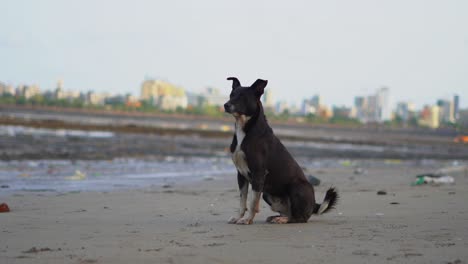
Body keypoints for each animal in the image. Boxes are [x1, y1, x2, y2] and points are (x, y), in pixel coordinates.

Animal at [223, 77, 336, 224]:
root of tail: (313, 204)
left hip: (297, 187)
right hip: (267, 194)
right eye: (232, 95)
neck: (245, 129)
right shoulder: (241, 175)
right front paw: (239, 217)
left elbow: (253, 203)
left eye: (243, 97)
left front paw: (247, 220)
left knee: (299, 218)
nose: (225, 105)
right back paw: (278, 217)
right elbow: (243, 201)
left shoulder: (258, 174)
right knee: (290, 213)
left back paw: (283, 219)